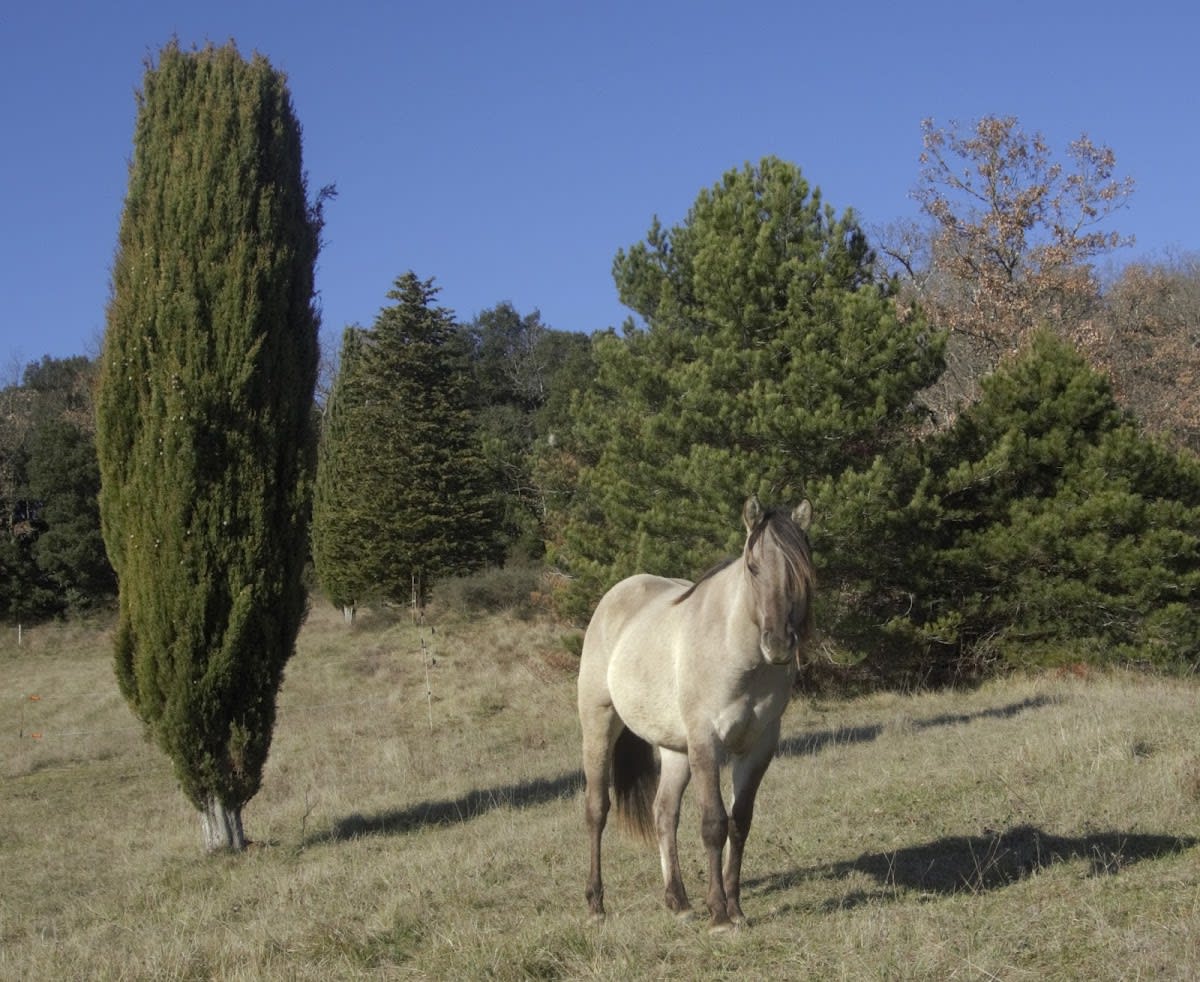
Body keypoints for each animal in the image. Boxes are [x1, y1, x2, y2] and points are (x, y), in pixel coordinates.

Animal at [577, 495, 815, 931]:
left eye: (802, 568)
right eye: (753, 568)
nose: (777, 645)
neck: (736, 651)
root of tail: (619, 592)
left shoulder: (758, 746)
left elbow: (740, 822)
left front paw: (735, 909)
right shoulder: (707, 741)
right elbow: (713, 824)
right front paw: (719, 915)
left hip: (675, 749)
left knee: (664, 812)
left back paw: (679, 901)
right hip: (599, 725)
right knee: (596, 810)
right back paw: (596, 906)